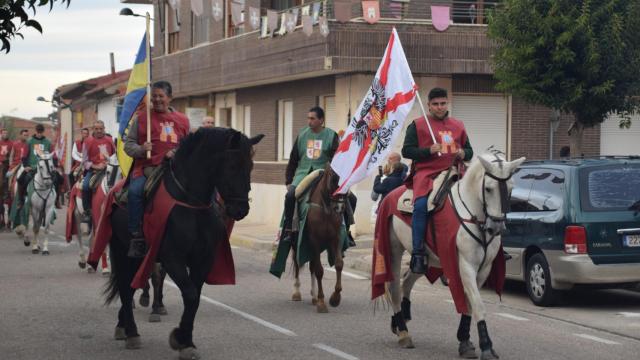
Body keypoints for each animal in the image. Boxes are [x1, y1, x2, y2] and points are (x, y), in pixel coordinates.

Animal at [104, 128, 262, 358]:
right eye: (233, 166)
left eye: (250, 166)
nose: (241, 209)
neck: (190, 204)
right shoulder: (173, 259)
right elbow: (190, 294)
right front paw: (182, 339)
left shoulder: (203, 260)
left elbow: (194, 297)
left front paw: (185, 340)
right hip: (122, 250)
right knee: (126, 287)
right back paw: (132, 332)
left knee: (130, 286)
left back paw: (123, 325)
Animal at [292, 165, 348, 312]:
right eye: (333, 177)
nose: (340, 207)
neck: (325, 207)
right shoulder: (315, 240)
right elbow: (319, 270)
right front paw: (322, 302)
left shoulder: (336, 238)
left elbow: (339, 264)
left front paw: (335, 298)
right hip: (296, 243)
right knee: (298, 263)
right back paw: (297, 292)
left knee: (311, 266)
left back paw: (314, 296)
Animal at [382, 153, 524, 360]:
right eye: (488, 189)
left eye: (511, 188)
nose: (496, 227)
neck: (474, 216)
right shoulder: (465, 265)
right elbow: (477, 305)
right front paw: (486, 346)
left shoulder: (483, 269)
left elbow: (469, 303)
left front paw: (465, 341)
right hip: (394, 250)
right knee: (394, 288)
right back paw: (403, 332)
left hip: (424, 261)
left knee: (406, 282)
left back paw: (400, 320)